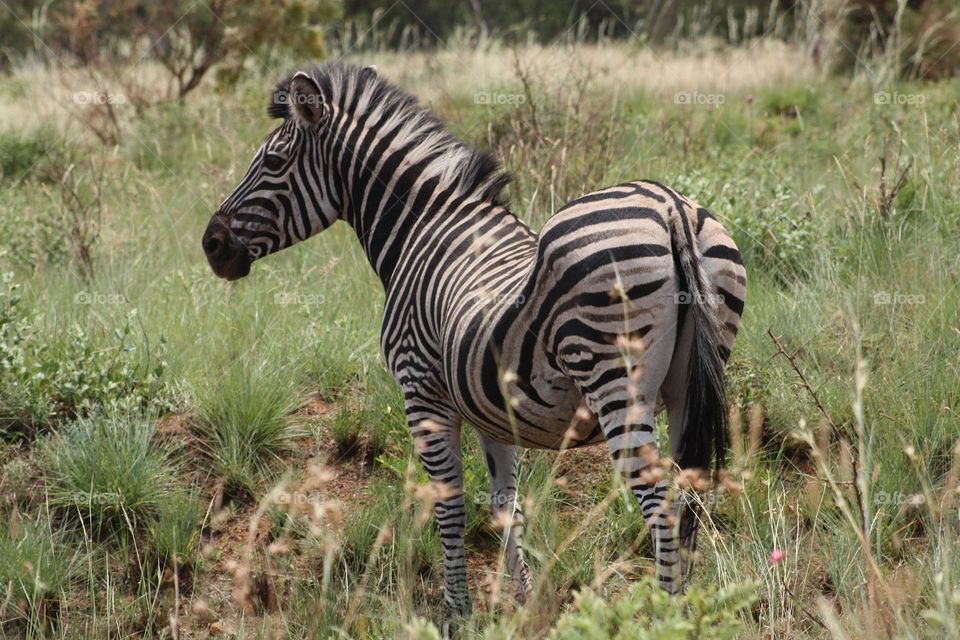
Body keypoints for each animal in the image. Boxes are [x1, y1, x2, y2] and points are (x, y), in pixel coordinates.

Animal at [201, 62, 746, 618]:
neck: (422, 227)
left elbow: (450, 505)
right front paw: (527, 609)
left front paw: (455, 611)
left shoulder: (421, 391)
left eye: (273, 161)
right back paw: (687, 609)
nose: (211, 244)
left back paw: (665, 612)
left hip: (615, 379)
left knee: (659, 503)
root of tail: (670, 207)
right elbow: (506, 507)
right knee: (688, 496)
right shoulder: (492, 411)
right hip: (688, 386)